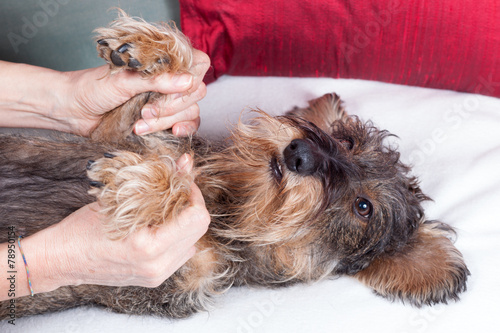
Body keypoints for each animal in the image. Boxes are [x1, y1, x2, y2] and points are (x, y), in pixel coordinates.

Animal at [0, 12, 468, 320]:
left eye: (363, 207)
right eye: (347, 140)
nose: (301, 153)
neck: (230, 201)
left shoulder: (171, 281)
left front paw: (146, 187)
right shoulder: (117, 135)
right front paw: (154, 49)